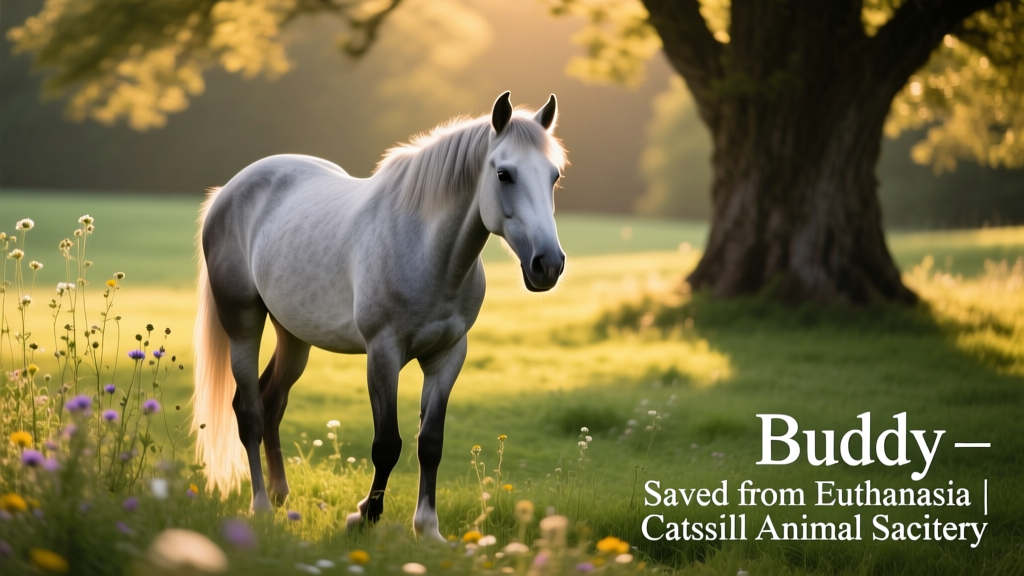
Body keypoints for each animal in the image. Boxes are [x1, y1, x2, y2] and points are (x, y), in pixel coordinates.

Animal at [191, 92, 567, 540]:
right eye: (505, 174)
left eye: (554, 176)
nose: (548, 265)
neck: (428, 252)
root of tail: (228, 191)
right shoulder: (383, 353)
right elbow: (387, 444)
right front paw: (364, 517)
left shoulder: (448, 356)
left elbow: (430, 443)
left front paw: (428, 529)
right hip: (243, 322)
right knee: (248, 410)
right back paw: (262, 507)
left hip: (294, 336)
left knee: (272, 402)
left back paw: (282, 497)